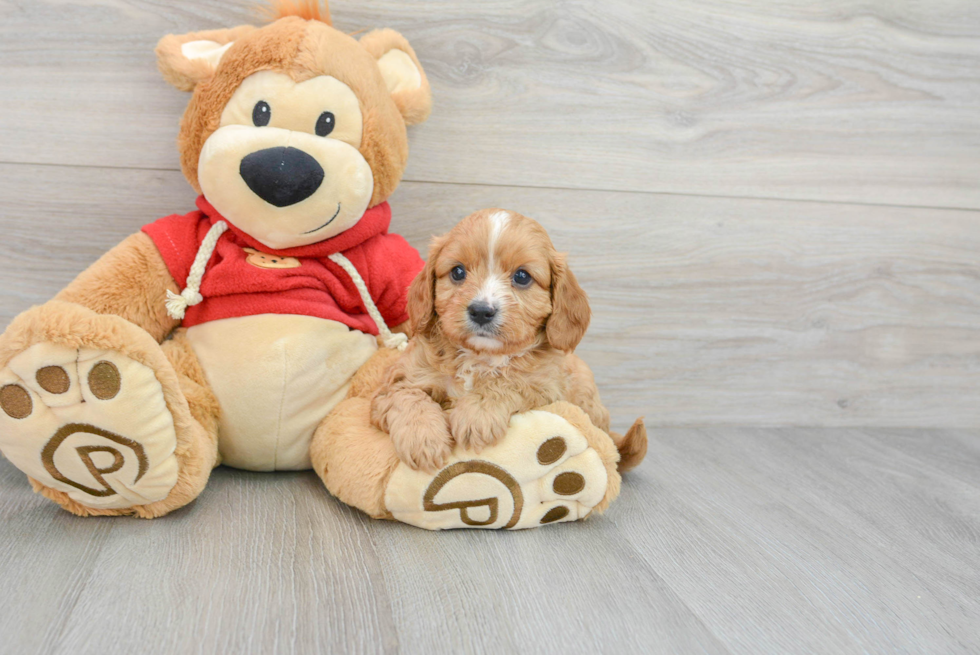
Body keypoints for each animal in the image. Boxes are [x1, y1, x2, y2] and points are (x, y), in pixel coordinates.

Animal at [368, 210, 644, 472]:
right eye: (458, 272)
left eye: (522, 276)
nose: (481, 311)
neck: (479, 356)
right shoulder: (396, 382)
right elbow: (407, 396)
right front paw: (423, 438)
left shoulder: (547, 388)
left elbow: (509, 382)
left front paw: (476, 414)